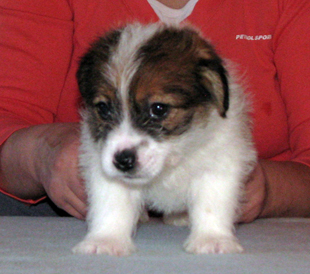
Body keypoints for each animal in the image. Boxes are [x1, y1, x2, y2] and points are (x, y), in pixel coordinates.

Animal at [72, 22, 256, 256]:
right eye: (103, 108)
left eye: (159, 109)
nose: (123, 161)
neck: (172, 160)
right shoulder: (103, 166)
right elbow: (112, 204)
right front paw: (105, 240)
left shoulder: (218, 165)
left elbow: (211, 203)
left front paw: (212, 238)